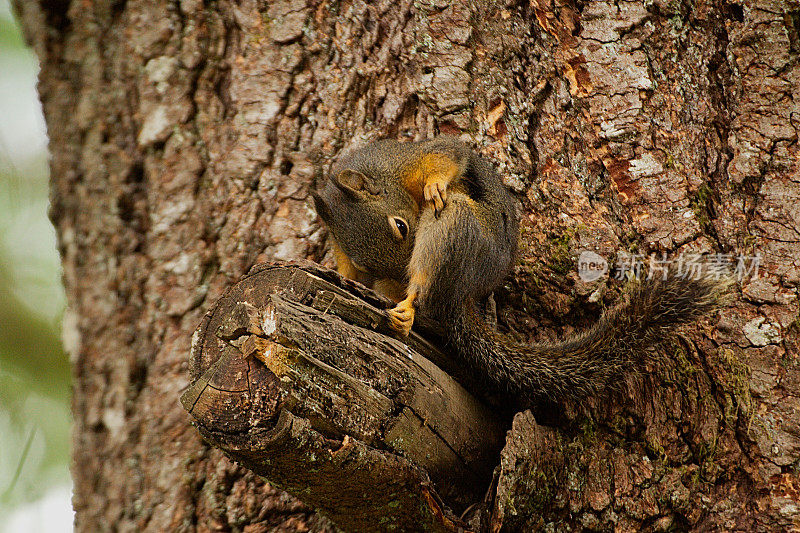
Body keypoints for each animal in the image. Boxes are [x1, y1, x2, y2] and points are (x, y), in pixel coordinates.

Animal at [314, 137, 732, 408]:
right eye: (364, 263)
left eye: (400, 226)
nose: (395, 271)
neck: (382, 173)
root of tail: (462, 291)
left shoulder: (412, 159)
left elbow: (447, 157)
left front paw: (434, 183)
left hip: (458, 221)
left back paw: (410, 301)